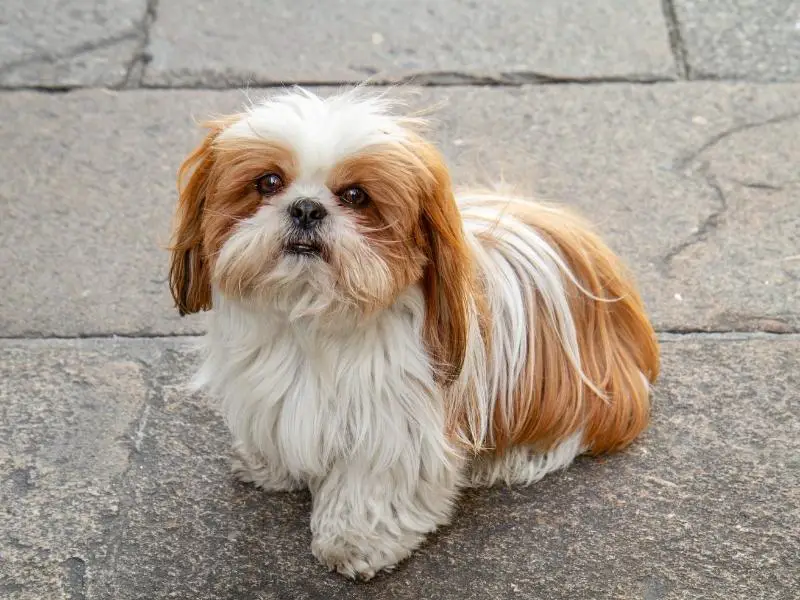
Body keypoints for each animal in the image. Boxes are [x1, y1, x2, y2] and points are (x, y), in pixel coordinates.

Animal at [167, 86, 656, 580]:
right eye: (268, 182)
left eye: (356, 195)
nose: (306, 207)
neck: (315, 318)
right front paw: (270, 466)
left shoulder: (394, 425)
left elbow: (371, 486)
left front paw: (353, 542)